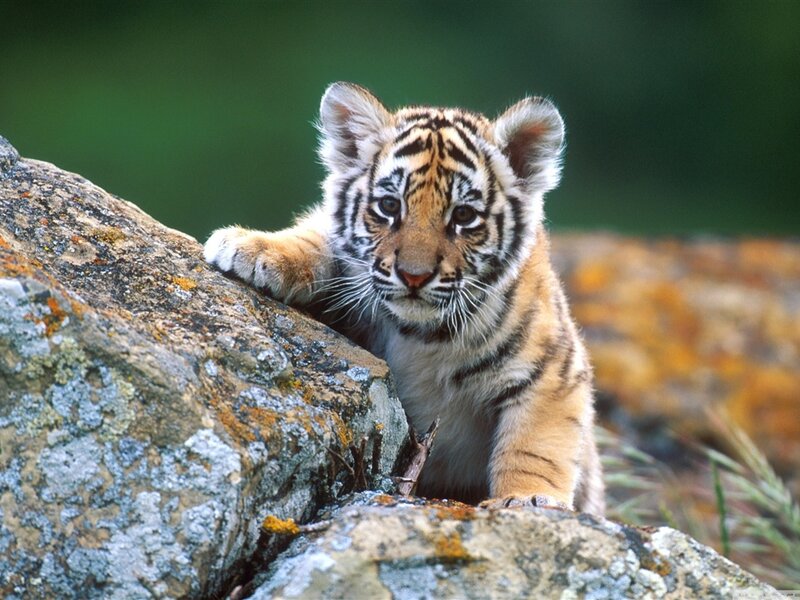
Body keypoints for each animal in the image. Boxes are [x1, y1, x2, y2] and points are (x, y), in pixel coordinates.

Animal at [204, 82, 605, 515]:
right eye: (389, 206)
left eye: (463, 216)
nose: (414, 275)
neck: (422, 335)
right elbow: (317, 236)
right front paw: (252, 247)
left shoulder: (554, 373)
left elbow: (535, 447)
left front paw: (528, 499)